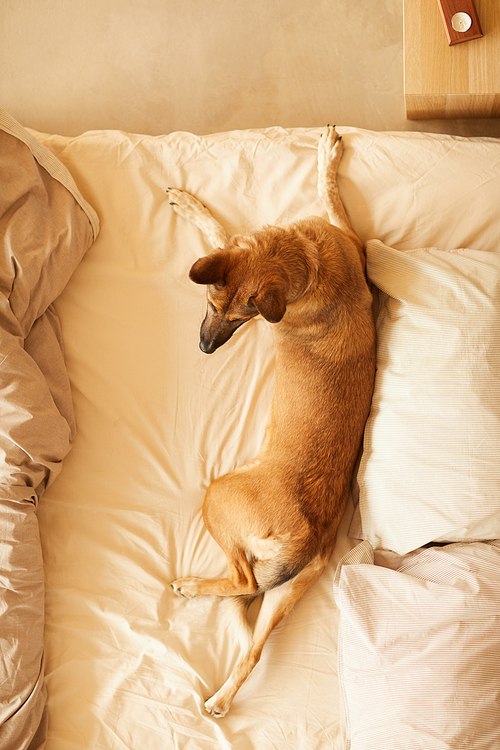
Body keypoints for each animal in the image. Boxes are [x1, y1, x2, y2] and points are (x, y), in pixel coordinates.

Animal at [168, 126, 376, 720]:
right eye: (213, 306)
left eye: (238, 320)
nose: (204, 349)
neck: (305, 262)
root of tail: (306, 534)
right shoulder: (350, 237)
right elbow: (332, 195)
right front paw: (328, 161)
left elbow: (220, 231)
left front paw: (191, 206)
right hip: (287, 594)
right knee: (253, 639)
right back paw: (220, 699)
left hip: (218, 497)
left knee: (241, 581)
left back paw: (191, 587)